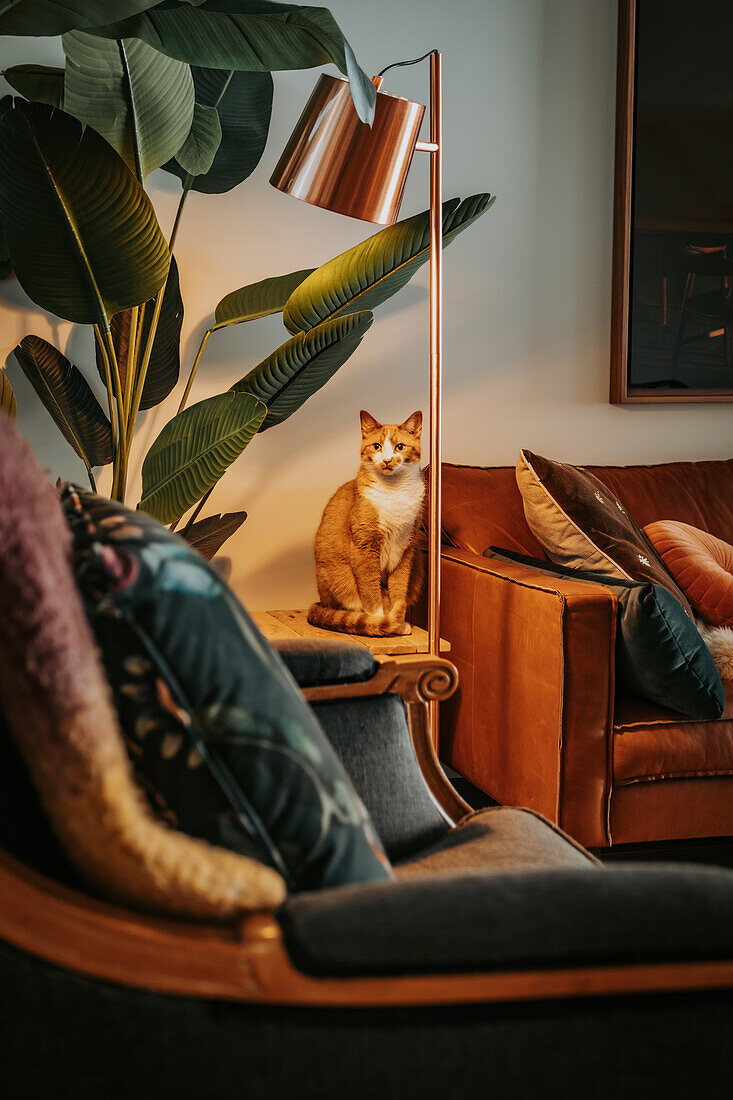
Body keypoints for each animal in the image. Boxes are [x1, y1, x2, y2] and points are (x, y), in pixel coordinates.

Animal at [305, 411, 422, 638]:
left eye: (400, 447)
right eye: (376, 446)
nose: (387, 460)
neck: (394, 490)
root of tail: (321, 602)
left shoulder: (406, 549)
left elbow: (399, 589)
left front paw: (398, 621)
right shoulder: (365, 546)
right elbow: (371, 591)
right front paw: (380, 621)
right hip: (338, 577)